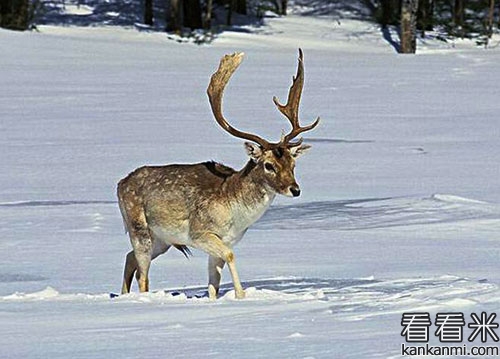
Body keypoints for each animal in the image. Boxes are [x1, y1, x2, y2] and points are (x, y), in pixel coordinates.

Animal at [117, 48, 320, 300]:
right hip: (139, 227)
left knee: (129, 258)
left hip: (162, 240)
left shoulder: (226, 240)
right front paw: (241, 295)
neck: (235, 214)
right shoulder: (200, 233)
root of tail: (120, 184)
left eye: (293, 163)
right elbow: (230, 256)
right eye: (268, 165)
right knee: (142, 274)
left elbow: (214, 281)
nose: (295, 189)